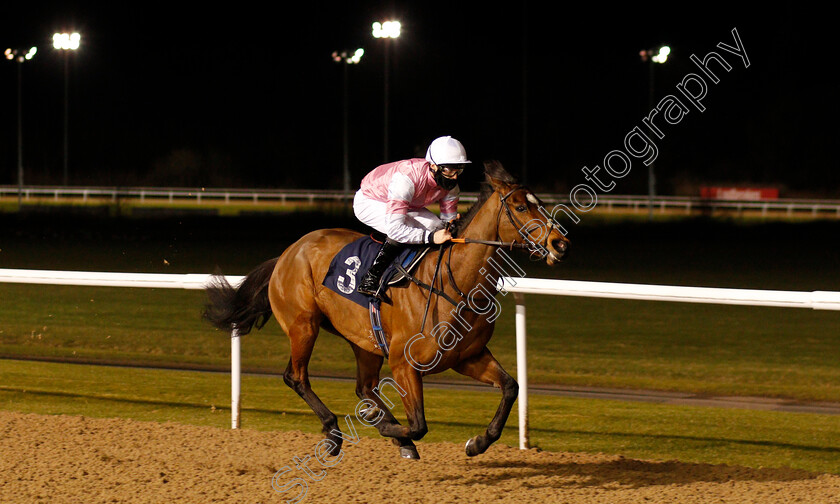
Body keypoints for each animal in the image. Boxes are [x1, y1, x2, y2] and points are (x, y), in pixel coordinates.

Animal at [204, 159, 572, 458]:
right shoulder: (404, 364)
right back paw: (336, 431)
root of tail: (287, 253)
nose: (561, 243)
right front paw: (387, 429)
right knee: (296, 377)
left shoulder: (468, 356)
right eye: (520, 208)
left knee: (364, 387)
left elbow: (511, 387)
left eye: (540, 203)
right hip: (303, 325)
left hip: (363, 339)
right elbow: (420, 424)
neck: (455, 283)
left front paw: (477, 443)